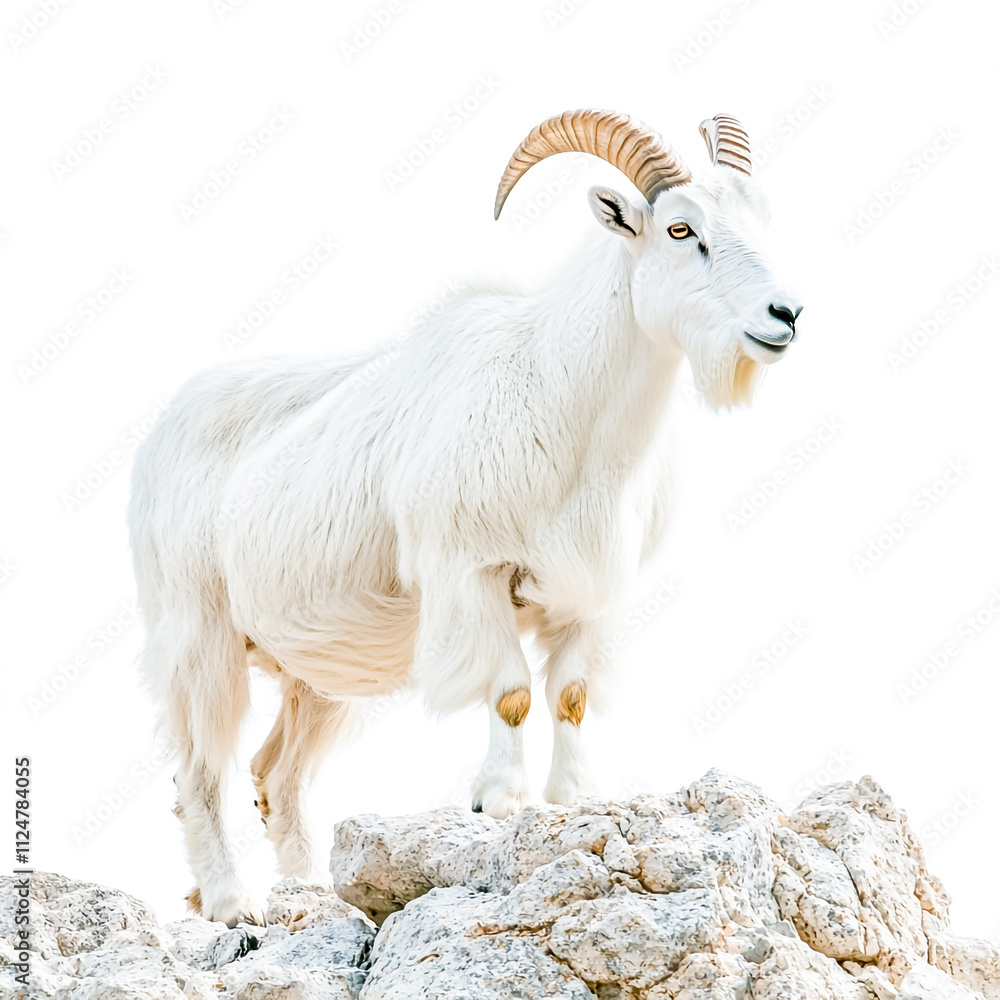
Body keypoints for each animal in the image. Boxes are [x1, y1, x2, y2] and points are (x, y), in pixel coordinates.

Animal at [128, 110, 802, 926]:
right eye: (681, 229)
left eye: (760, 218)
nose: (785, 315)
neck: (557, 391)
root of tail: (160, 436)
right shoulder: (471, 572)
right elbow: (510, 693)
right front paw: (497, 799)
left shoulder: (588, 597)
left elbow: (570, 697)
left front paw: (573, 796)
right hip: (200, 637)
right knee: (201, 770)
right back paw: (234, 906)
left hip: (316, 672)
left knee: (277, 772)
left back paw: (308, 890)